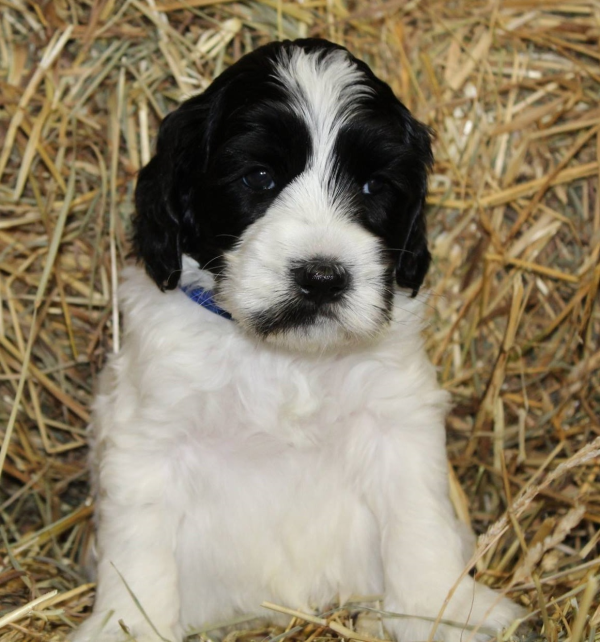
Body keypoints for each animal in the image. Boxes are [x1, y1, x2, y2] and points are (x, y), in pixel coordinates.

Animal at [75, 37, 524, 636]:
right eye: (259, 177)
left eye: (373, 185)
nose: (322, 277)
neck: (287, 359)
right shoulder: (150, 435)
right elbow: (139, 551)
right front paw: (128, 627)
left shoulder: (396, 421)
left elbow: (419, 523)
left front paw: (442, 611)